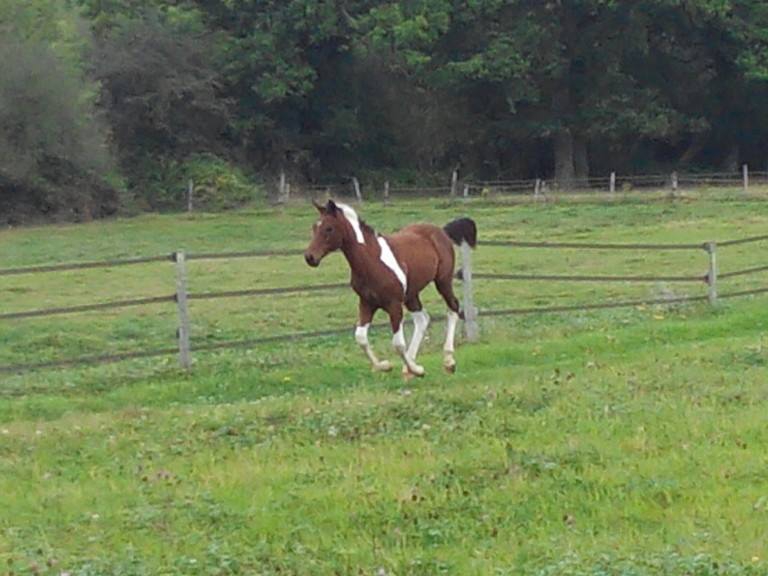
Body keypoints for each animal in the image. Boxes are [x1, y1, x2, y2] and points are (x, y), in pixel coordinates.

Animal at [304, 199, 477, 378]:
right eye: (314, 227)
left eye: (329, 228)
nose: (310, 257)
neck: (371, 261)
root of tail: (441, 231)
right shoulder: (366, 303)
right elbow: (361, 337)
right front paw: (385, 366)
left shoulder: (393, 305)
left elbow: (398, 344)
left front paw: (417, 370)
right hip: (411, 294)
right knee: (422, 319)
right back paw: (409, 367)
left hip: (442, 281)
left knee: (453, 308)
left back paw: (448, 362)